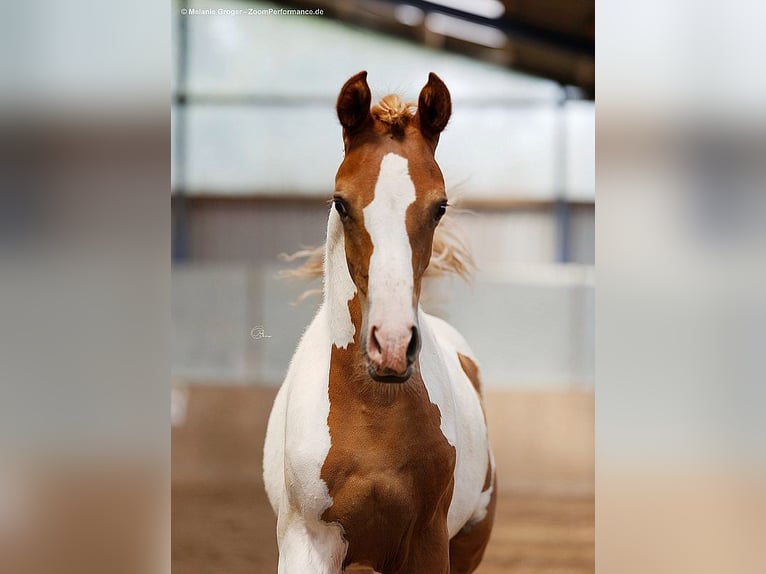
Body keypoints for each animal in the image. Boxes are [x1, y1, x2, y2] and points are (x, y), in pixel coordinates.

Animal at [262, 72, 498, 574]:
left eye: (440, 206)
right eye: (341, 202)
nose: (391, 345)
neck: (374, 412)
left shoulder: (429, 543)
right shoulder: (308, 544)